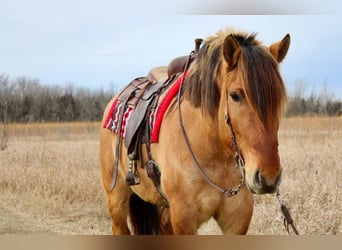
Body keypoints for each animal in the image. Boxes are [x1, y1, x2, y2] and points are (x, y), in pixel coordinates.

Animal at [99, 28, 292, 234]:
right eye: (235, 95)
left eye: (279, 99)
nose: (268, 177)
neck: (213, 152)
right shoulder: (183, 217)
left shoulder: (237, 219)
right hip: (116, 199)